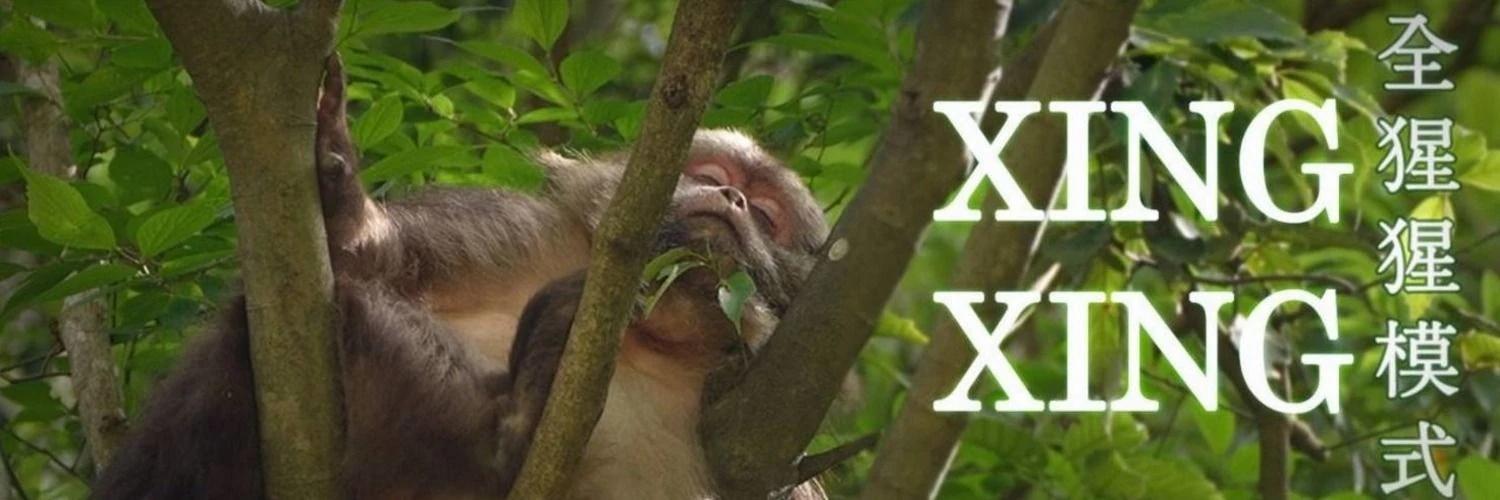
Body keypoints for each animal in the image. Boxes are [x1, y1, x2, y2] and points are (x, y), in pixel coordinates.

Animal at [92, 55, 830, 499]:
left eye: (767, 215)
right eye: (708, 175)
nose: (731, 201)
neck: (647, 330)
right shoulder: (523, 234)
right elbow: (364, 261)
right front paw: (341, 196)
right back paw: (511, 431)